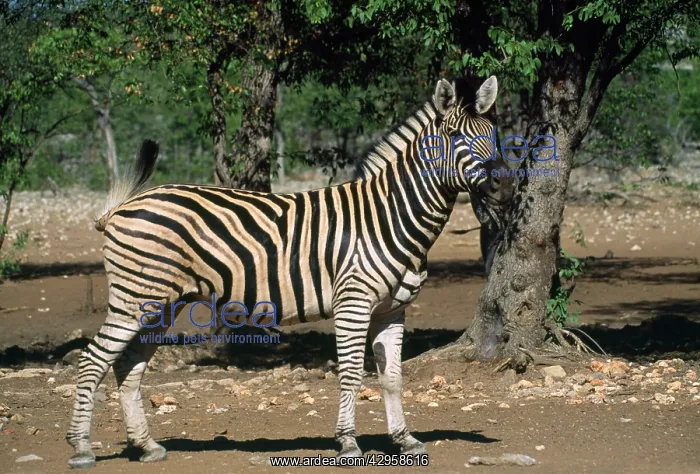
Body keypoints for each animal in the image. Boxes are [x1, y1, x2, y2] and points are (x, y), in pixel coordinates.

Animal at [66, 74, 512, 469]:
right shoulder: (353, 304)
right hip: (135, 298)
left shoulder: (392, 310)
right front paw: (348, 443)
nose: (505, 187)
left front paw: (403, 439)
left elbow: (392, 377)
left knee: (127, 365)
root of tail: (122, 207)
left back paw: (146, 446)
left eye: (494, 135)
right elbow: (351, 374)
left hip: (159, 304)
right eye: (453, 136)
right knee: (92, 361)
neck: (390, 215)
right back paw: (82, 448)